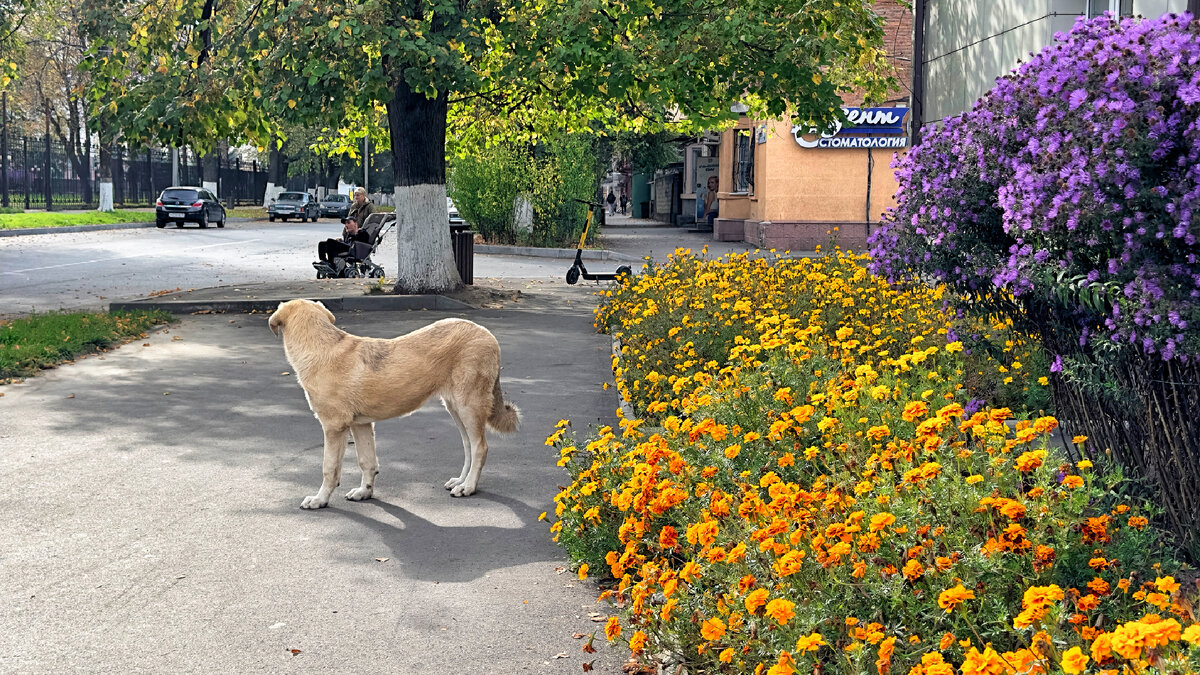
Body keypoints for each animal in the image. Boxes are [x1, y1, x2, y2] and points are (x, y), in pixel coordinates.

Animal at [272, 296, 520, 506]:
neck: (320, 345)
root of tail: (486, 333)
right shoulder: (361, 425)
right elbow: (367, 462)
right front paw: (364, 492)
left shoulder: (334, 427)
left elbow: (329, 468)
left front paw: (320, 499)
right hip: (455, 408)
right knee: (468, 445)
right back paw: (461, 481)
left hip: (469, 407)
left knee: (480, 447)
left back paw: (468, 487)